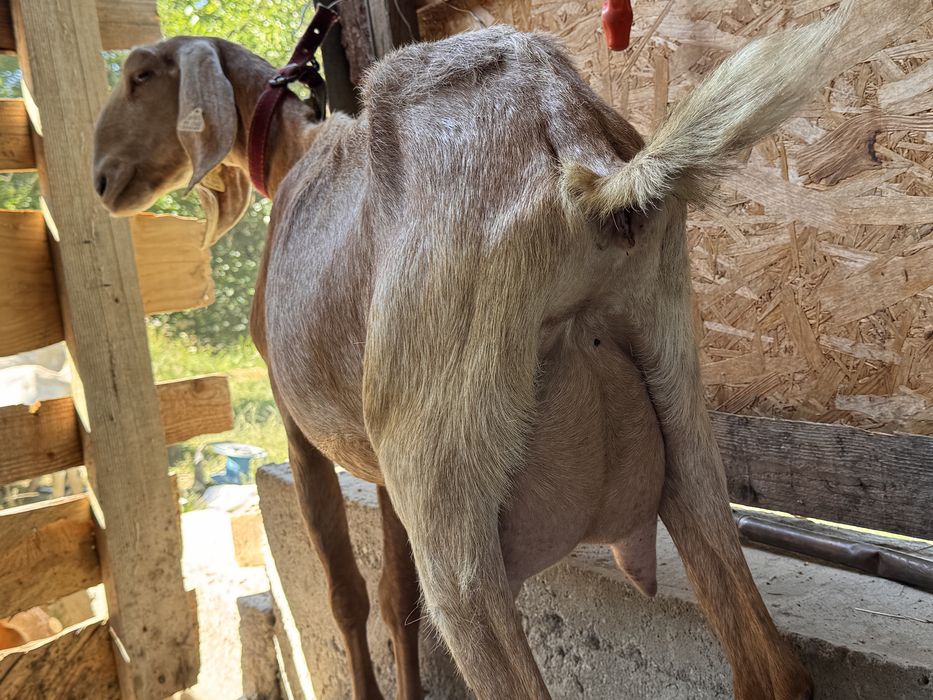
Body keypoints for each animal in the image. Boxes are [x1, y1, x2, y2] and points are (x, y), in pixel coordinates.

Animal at [94, 6, 855, 697]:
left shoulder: (300, 430)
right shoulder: (376, 459)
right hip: (678, 408)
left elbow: (348, 594)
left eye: (139, 74)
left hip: (445, 491)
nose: (102, 178)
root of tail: (575, 154)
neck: (292, 158)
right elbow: (394, 591)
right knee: (773, 667)